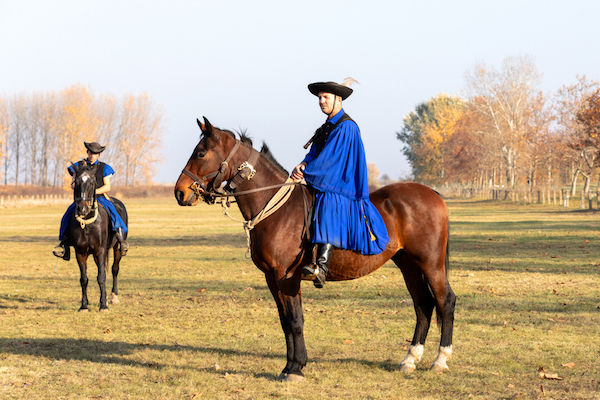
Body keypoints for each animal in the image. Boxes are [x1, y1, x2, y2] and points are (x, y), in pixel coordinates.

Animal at [69, 162, 127, 312]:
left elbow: (101, 277)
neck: (88, 223)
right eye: (76, 181)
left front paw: (103, 305)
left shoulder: (100, 250)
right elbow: (84, 279)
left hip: (117, 248)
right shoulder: (80, 253)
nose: (83, 209)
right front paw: (84, 305)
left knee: (114, 269)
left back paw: (113, 297)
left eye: (92, 182)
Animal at [173, 116, 454, 382]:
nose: (180, 192)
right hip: (408, 264)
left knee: (444, 301)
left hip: (431, 264)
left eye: (201, 153)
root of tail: (433, 193)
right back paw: (410, 359)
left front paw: (296, 368)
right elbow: (285, 321)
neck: (276, 209)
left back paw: (440, 360)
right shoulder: (272, 279)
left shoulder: (287, 278)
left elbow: (295, 320)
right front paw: (289, 366)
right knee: (423, 304)